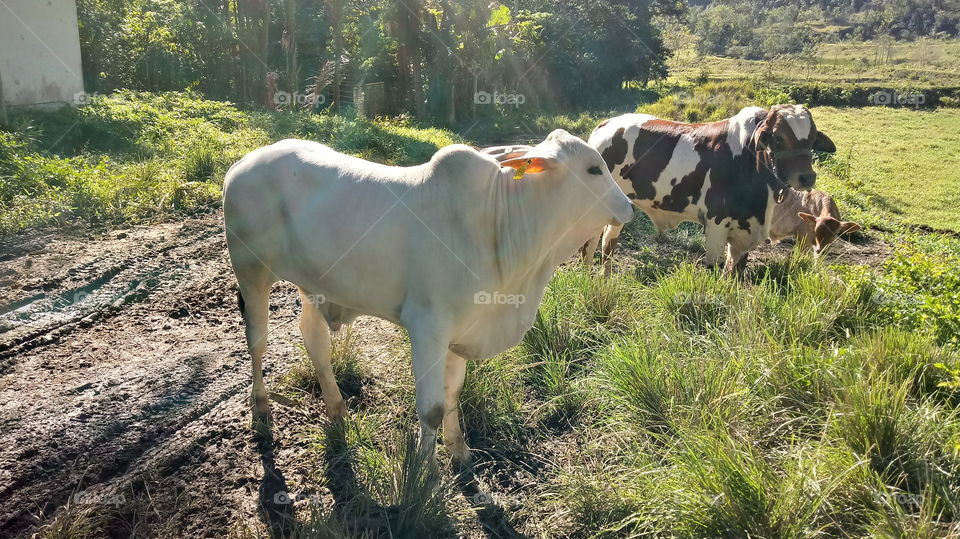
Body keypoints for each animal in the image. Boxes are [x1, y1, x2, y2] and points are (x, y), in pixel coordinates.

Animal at [222, 131, 635, 465]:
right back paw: (261, 408)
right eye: (593, 169)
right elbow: (432, 409)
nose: (629, 207)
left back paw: (337, 408)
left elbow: (453, 395)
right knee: (257, 341)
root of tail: (243, 163)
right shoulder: (427, 328)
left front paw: (459, 451)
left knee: (314, 339)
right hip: (251, 272)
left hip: (314, 283)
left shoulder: (461, 330)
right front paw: (426, 476)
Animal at [582, 105, 837, 275]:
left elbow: (735, 272)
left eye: (812, 138)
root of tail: (606, 124)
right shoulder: (717, 223)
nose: (806, 177)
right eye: (778, 137)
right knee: (590, 242)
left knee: (608, 241)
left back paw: (604, 278)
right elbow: (714, 268)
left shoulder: (745, 230)